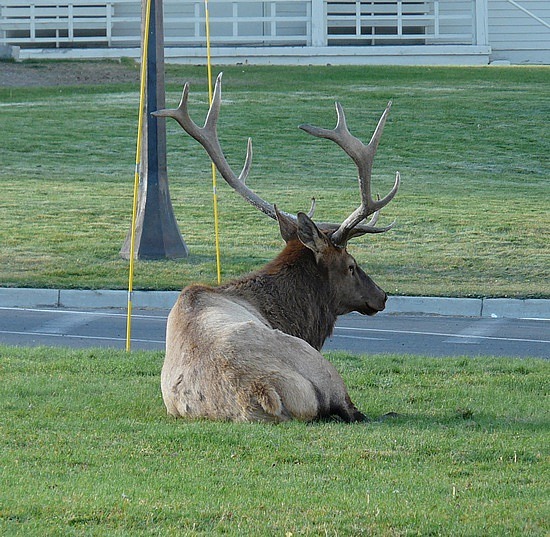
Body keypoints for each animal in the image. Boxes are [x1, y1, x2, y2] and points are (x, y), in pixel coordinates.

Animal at [155, 72, 402, 422]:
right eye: (351, 265)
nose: (382, 295)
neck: (291, 317)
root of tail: (262, 389)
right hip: (322, 368)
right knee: (354, 411)